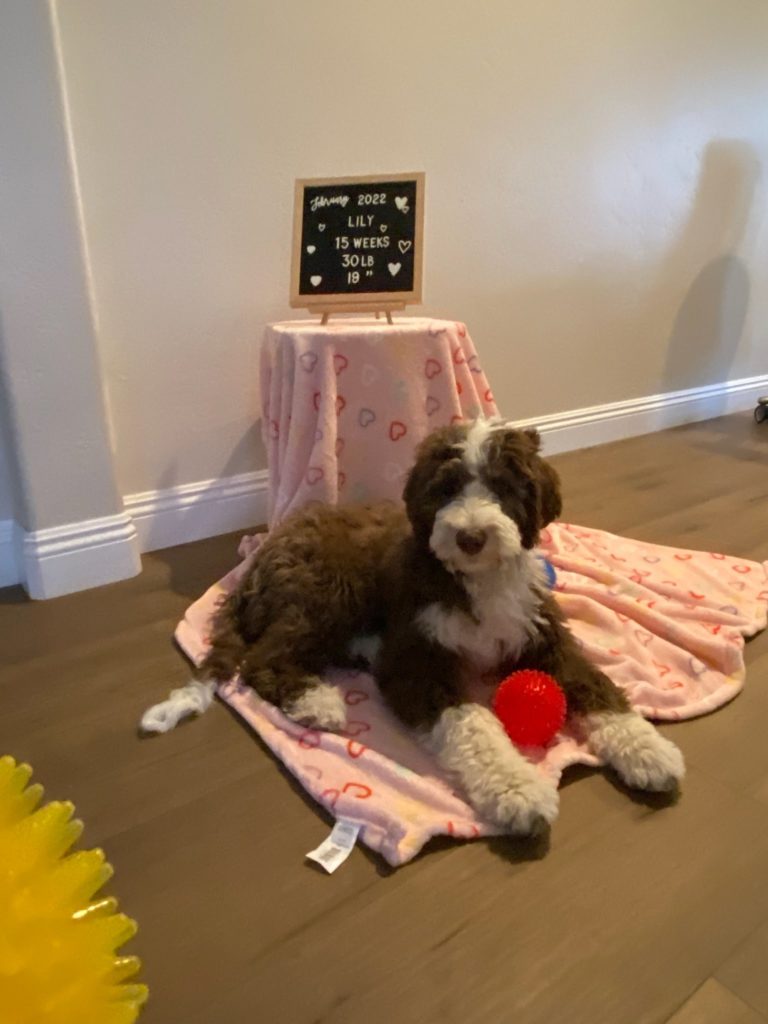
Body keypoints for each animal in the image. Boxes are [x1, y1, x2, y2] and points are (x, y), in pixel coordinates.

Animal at [198, 419, 684, 835]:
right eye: (447, 488)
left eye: (503, 487)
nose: (470, 538)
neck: (474, 579)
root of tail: (261, 556)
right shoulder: (414, 660)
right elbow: (470, 721)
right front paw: (517, 790)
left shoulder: (544, 634)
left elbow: (593, 682)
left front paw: (647, 749)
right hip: (328, 593)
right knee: (264, 660)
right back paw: (317, 701)